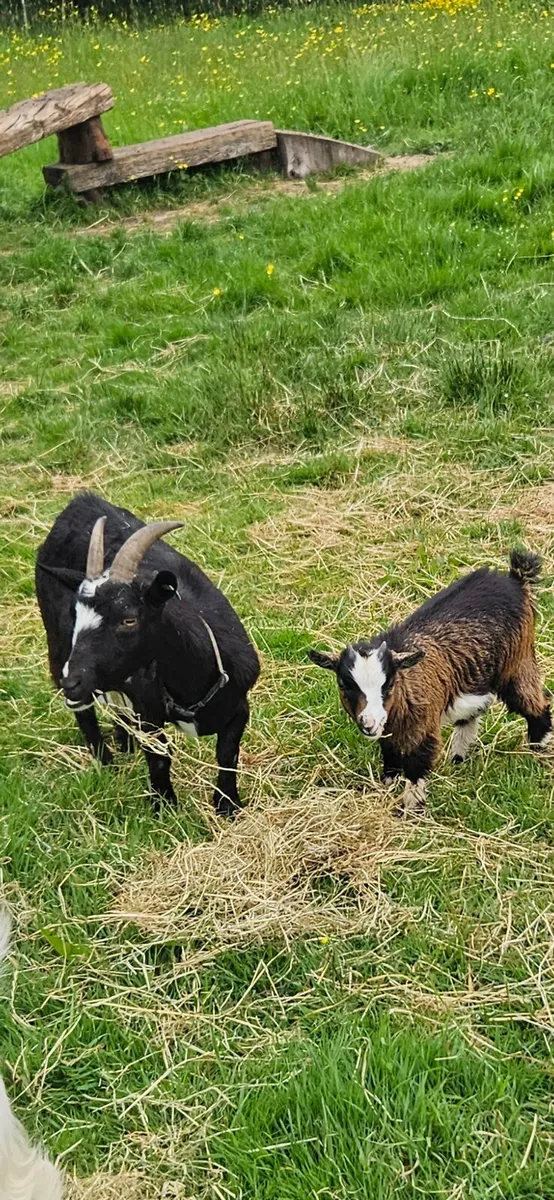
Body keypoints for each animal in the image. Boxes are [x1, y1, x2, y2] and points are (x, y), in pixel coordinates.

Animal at [36, 493, 260, 816]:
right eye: (74, 615)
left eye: (129, 619)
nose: (72, 681)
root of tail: (82, 501)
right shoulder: (148, 712)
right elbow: (159, 756)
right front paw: (164, 806)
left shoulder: (239, 705)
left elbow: (227, 755)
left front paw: (228, 806)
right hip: (58, 647)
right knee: (85, 712)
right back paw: (106, 761)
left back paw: (123, 742)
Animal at [309, 550, 552, 816]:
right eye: (343, 685)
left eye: (389, 684)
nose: (368, 724)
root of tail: (515, 579)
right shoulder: (390, 729)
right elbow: (390, 753)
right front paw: (388, 784)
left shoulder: (422, 727)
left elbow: (417, 766)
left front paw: (410, 809)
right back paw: (457, 758)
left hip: (516, 664)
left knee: (536, 701)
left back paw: (537, 747)